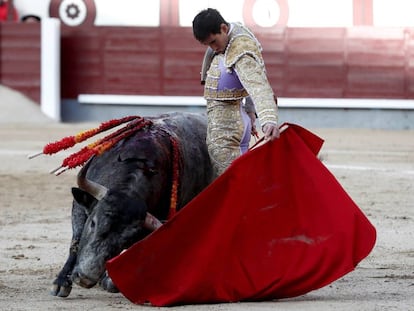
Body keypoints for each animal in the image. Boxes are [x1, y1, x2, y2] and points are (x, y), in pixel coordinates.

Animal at [50, 113, 215, 298]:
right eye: (93, 223)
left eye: (126, 240)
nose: (85, 278)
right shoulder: (80, 207)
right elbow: (76, 241)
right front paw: (61, 282)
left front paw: (112, 280)